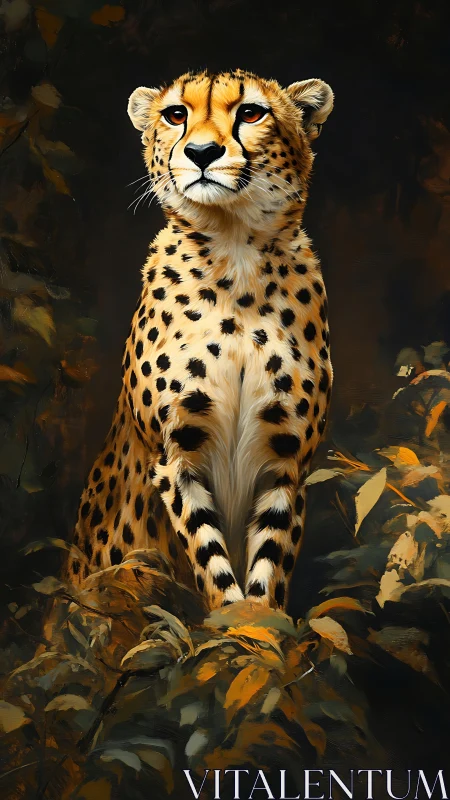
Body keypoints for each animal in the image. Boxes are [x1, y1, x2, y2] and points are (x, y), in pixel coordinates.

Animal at [65, 68, 334, 612]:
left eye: (251, 112)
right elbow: (210, 559)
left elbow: (268, 569)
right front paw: (231, 619)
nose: (202, 152)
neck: (235, 257)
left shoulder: (287, 457)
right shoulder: (176, 456)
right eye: (175, 114)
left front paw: (257, 624)